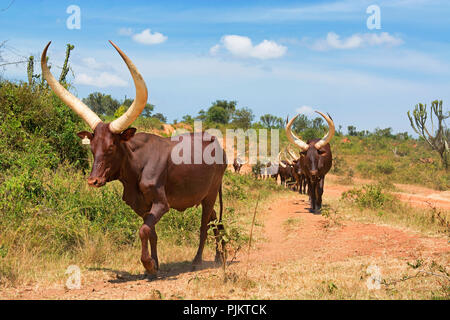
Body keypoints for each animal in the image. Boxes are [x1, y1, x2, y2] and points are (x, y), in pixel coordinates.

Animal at [41, 41, 227, 274]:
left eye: (112, 146)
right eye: (92, 148)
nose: (93, 180)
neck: (137, 167)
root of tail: (219, 146)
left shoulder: (161, 203)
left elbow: (143, 230)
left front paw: (148, 263)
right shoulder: (140, 206)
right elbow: (151, 232)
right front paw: (154, 265)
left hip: (210, 193)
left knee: (204, 225)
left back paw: (198, 260)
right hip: (203, 195)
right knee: (215, 221)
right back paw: (220, 256)